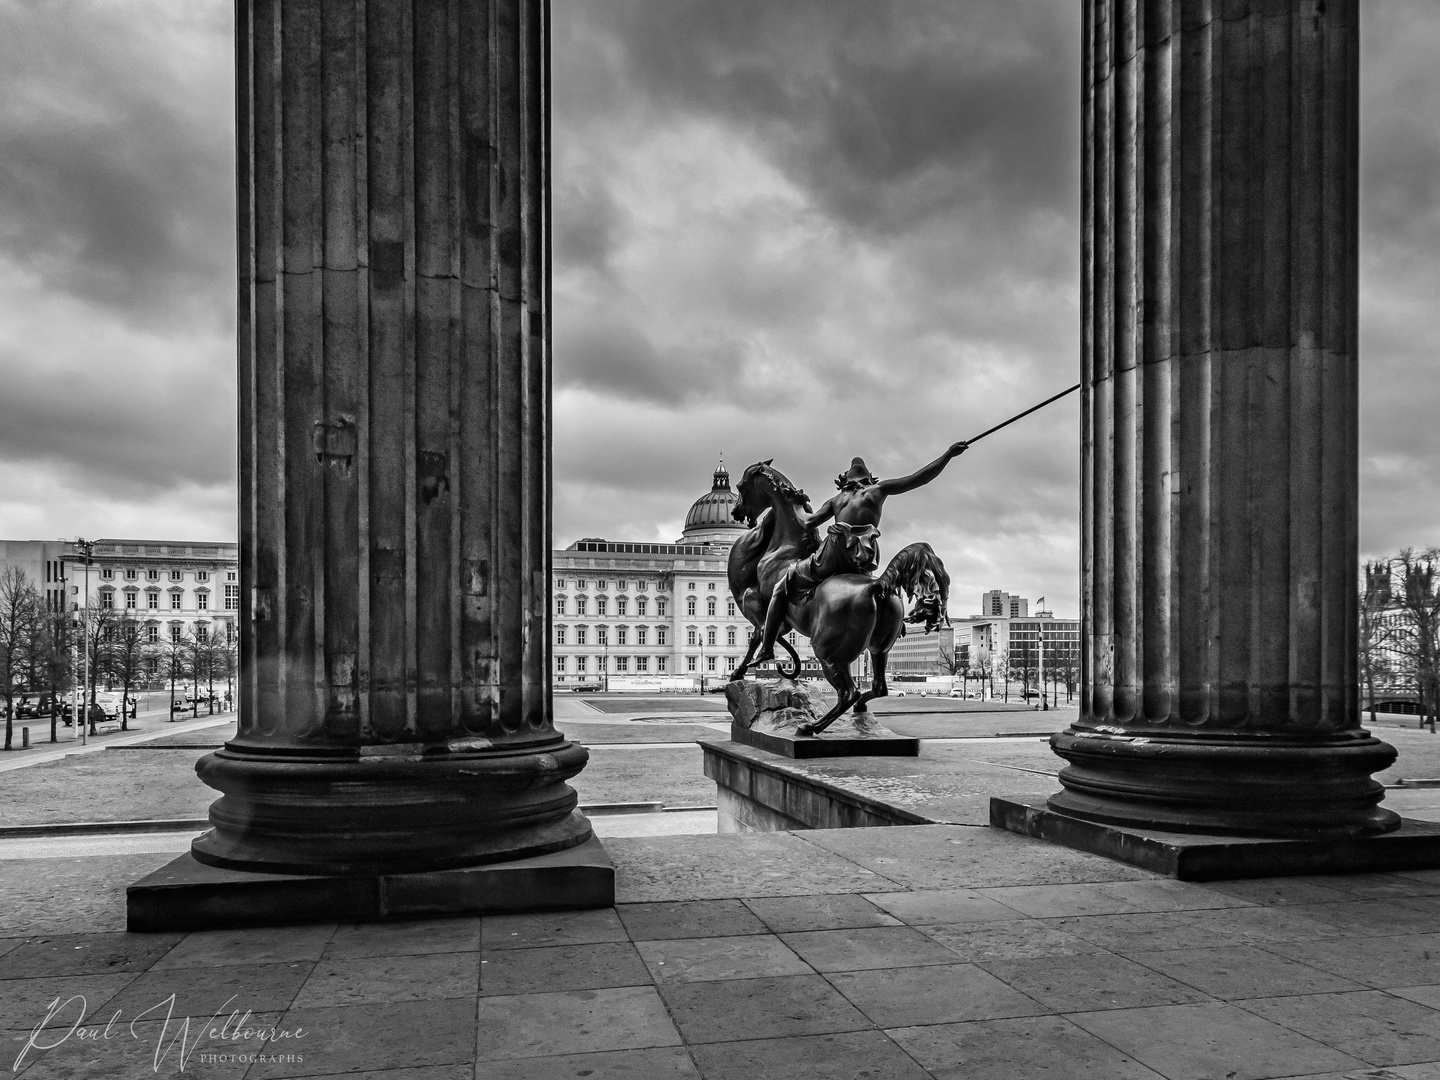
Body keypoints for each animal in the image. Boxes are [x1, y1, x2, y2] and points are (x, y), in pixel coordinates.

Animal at [725, 460, 950, 743]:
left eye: (741, 486)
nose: (735, 512)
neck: (786, 549)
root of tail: (876, 584)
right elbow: (763, 632)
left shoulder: (767, 602)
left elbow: (760, 633)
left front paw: (746, 667)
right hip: (879, 649)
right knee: (878, 687)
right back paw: (858, 709)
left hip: (828, 653)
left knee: (848, 692)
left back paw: (810, 726)